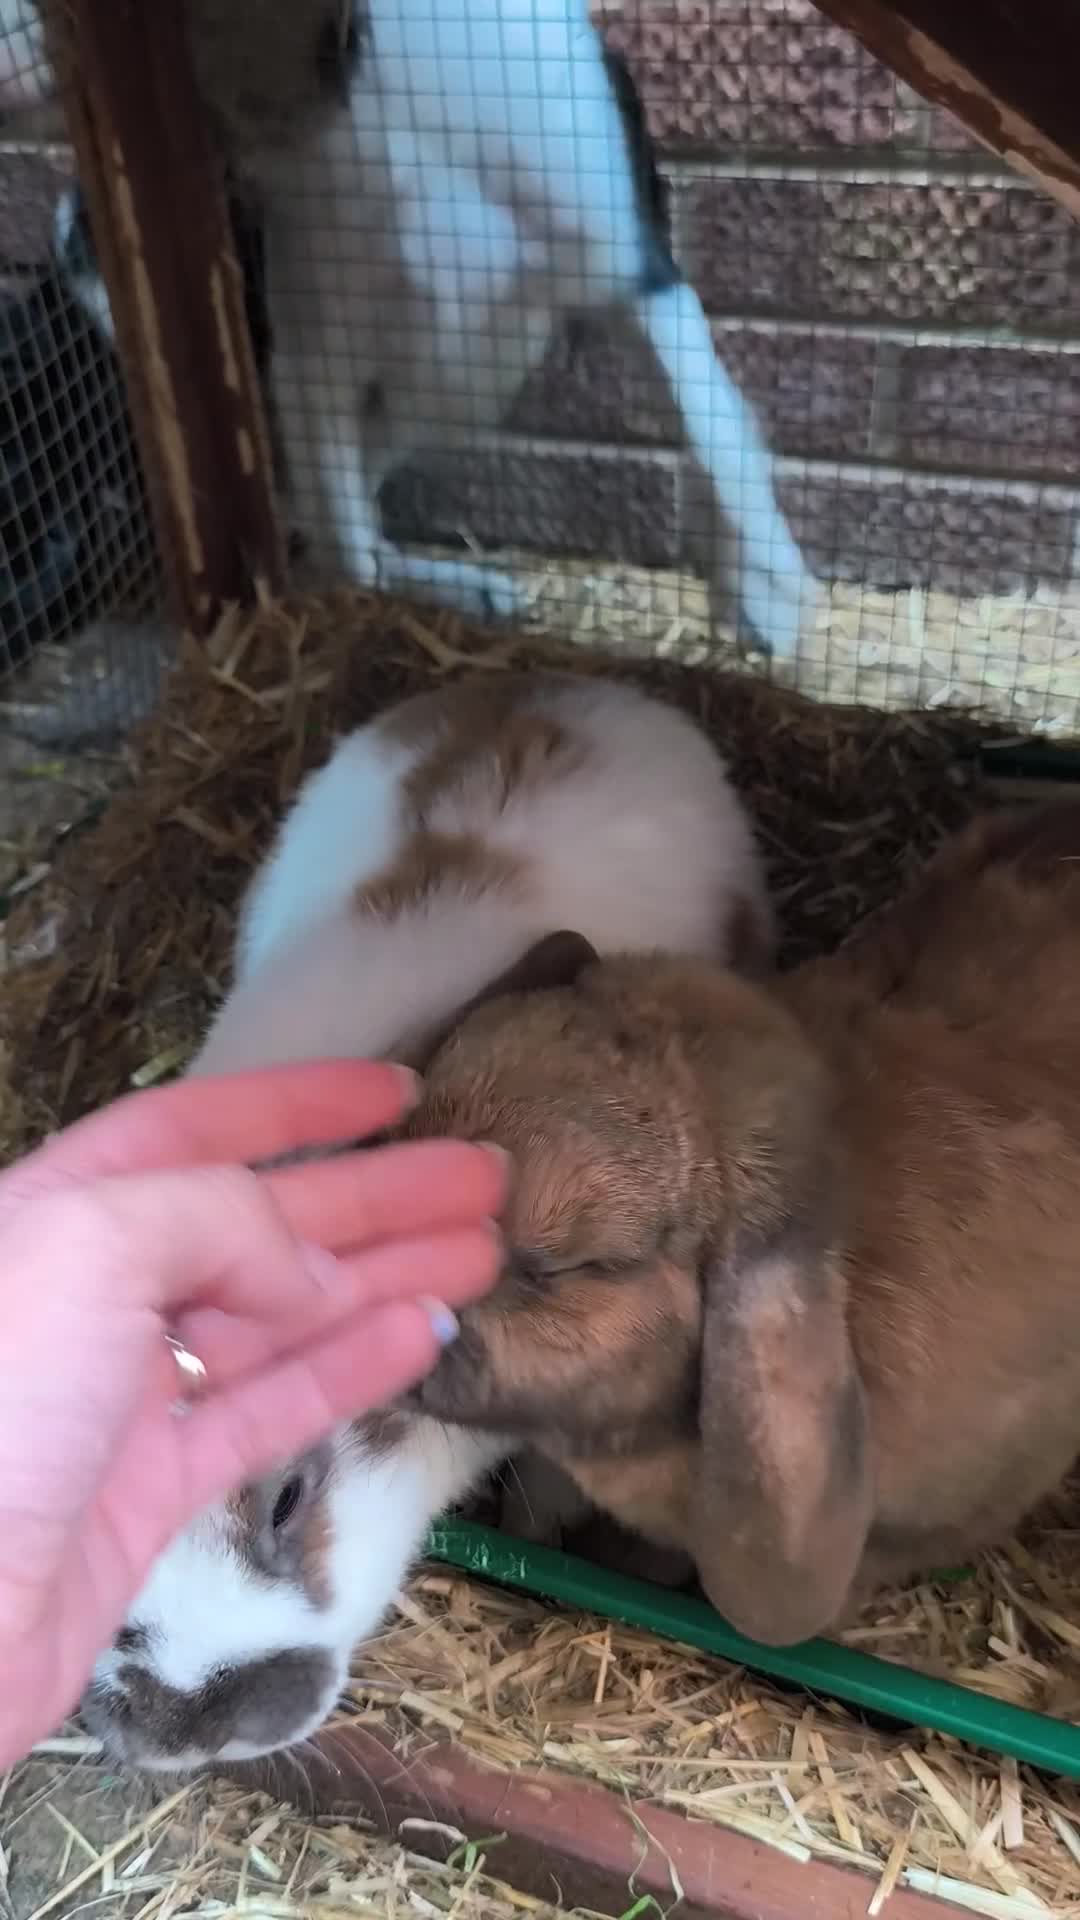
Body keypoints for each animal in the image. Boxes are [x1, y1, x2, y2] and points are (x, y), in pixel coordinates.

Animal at [1, 0, 818, 651]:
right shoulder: (312, 360)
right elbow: (351, 552)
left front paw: (770, 592)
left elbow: (721, 439)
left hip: (476, 375)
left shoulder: (636, 270)